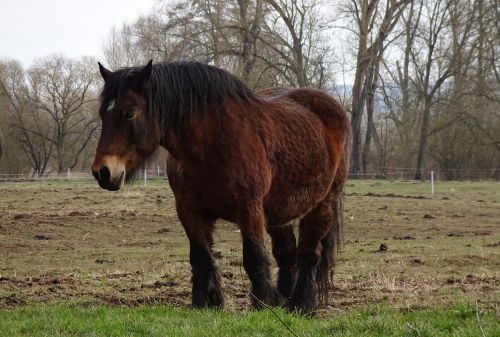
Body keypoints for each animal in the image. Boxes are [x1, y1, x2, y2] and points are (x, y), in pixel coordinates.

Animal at [93, 59, 352, 312]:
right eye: (103, 114)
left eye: (129, 112)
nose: (102, 172)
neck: (211, 143)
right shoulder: (189, 212)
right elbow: (201, 257)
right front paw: (207, 303)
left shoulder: (249, 210)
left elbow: (254, 257)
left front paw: (263, 304)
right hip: (280, 212)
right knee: (286, 253)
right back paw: (285, 301)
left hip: (322, 204)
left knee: (310, 253)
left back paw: (302, 304)